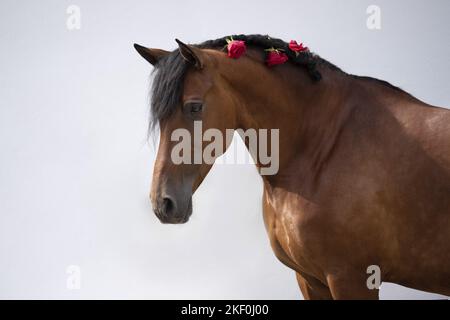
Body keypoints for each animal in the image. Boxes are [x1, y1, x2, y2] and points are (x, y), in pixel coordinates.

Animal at [134, 33, 450, 298]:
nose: (163, 203)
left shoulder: (352, 278)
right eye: (160, 117)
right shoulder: (311, 280)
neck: (322, 145)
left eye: (195, 107)